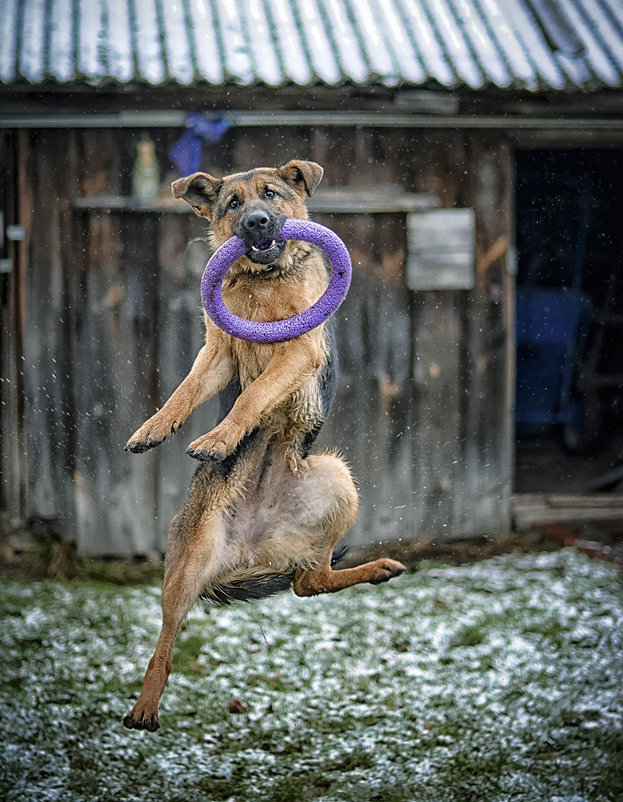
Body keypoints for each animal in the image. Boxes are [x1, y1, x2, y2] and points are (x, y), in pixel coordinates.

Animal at [122, 159, 408, 728]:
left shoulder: (297, 350)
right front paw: (153, 429)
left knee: (308, 582)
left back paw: (380, 569)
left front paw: (219, 437)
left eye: (272, 194)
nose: (256, 222)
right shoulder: (217, 354)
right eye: (233, 204)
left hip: (335, 479)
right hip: (190, 560)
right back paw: (145, 705)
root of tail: (248, 550)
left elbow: (253, 396)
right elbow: (184, 391)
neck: (264, 279)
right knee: (168, 638)